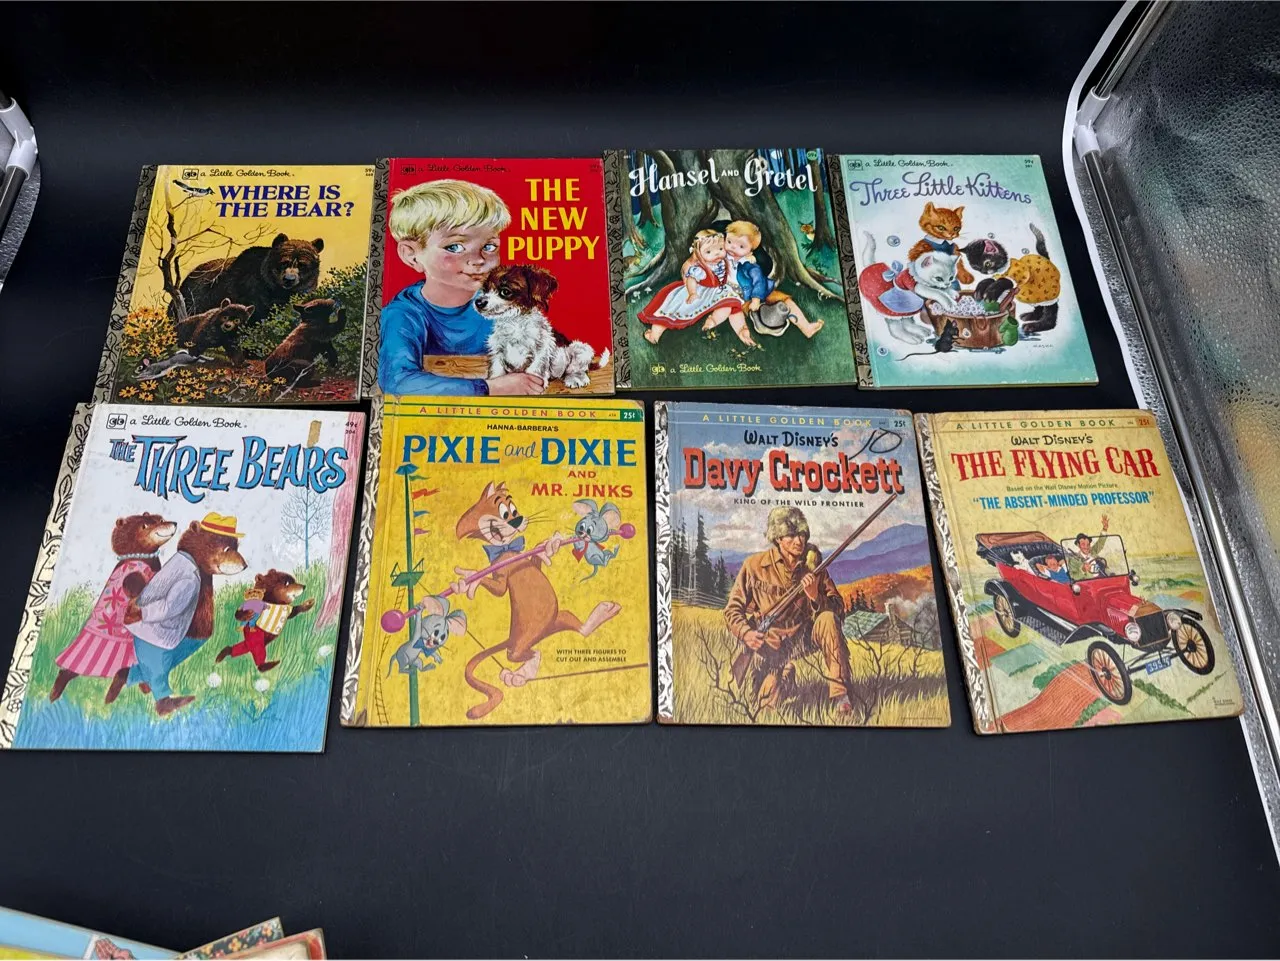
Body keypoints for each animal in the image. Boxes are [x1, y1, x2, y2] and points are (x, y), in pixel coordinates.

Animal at [474, 264, 609, 390]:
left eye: (505, 291)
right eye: (485, 289)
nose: (478, 302)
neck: (515, 324)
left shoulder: (541, 349)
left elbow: (535, 369)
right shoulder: (497, 351)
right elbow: (497, 370)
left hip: (581, 349)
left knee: (576, 369)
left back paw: (575, 378)